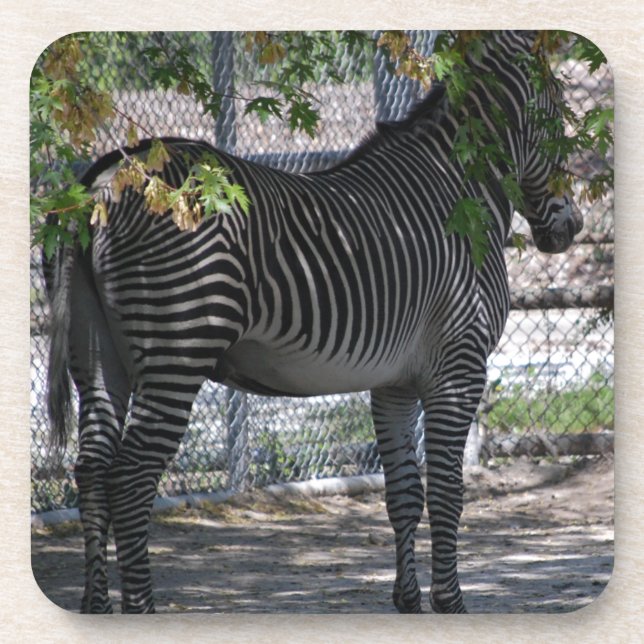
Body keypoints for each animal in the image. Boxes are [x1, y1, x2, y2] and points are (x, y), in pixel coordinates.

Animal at [43, 31, 582, 614]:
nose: (573, 227)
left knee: (92, 472)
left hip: (99, 357)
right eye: (562, 120)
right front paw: (451, 606)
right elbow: (447, 494)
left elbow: (404, 495)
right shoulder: (459, 370)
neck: (458, 189)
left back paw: (96, 607)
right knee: (131, 481)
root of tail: (105, 178)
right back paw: (140, 609)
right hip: (178, 349)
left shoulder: (393, 383)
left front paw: (408, 602)